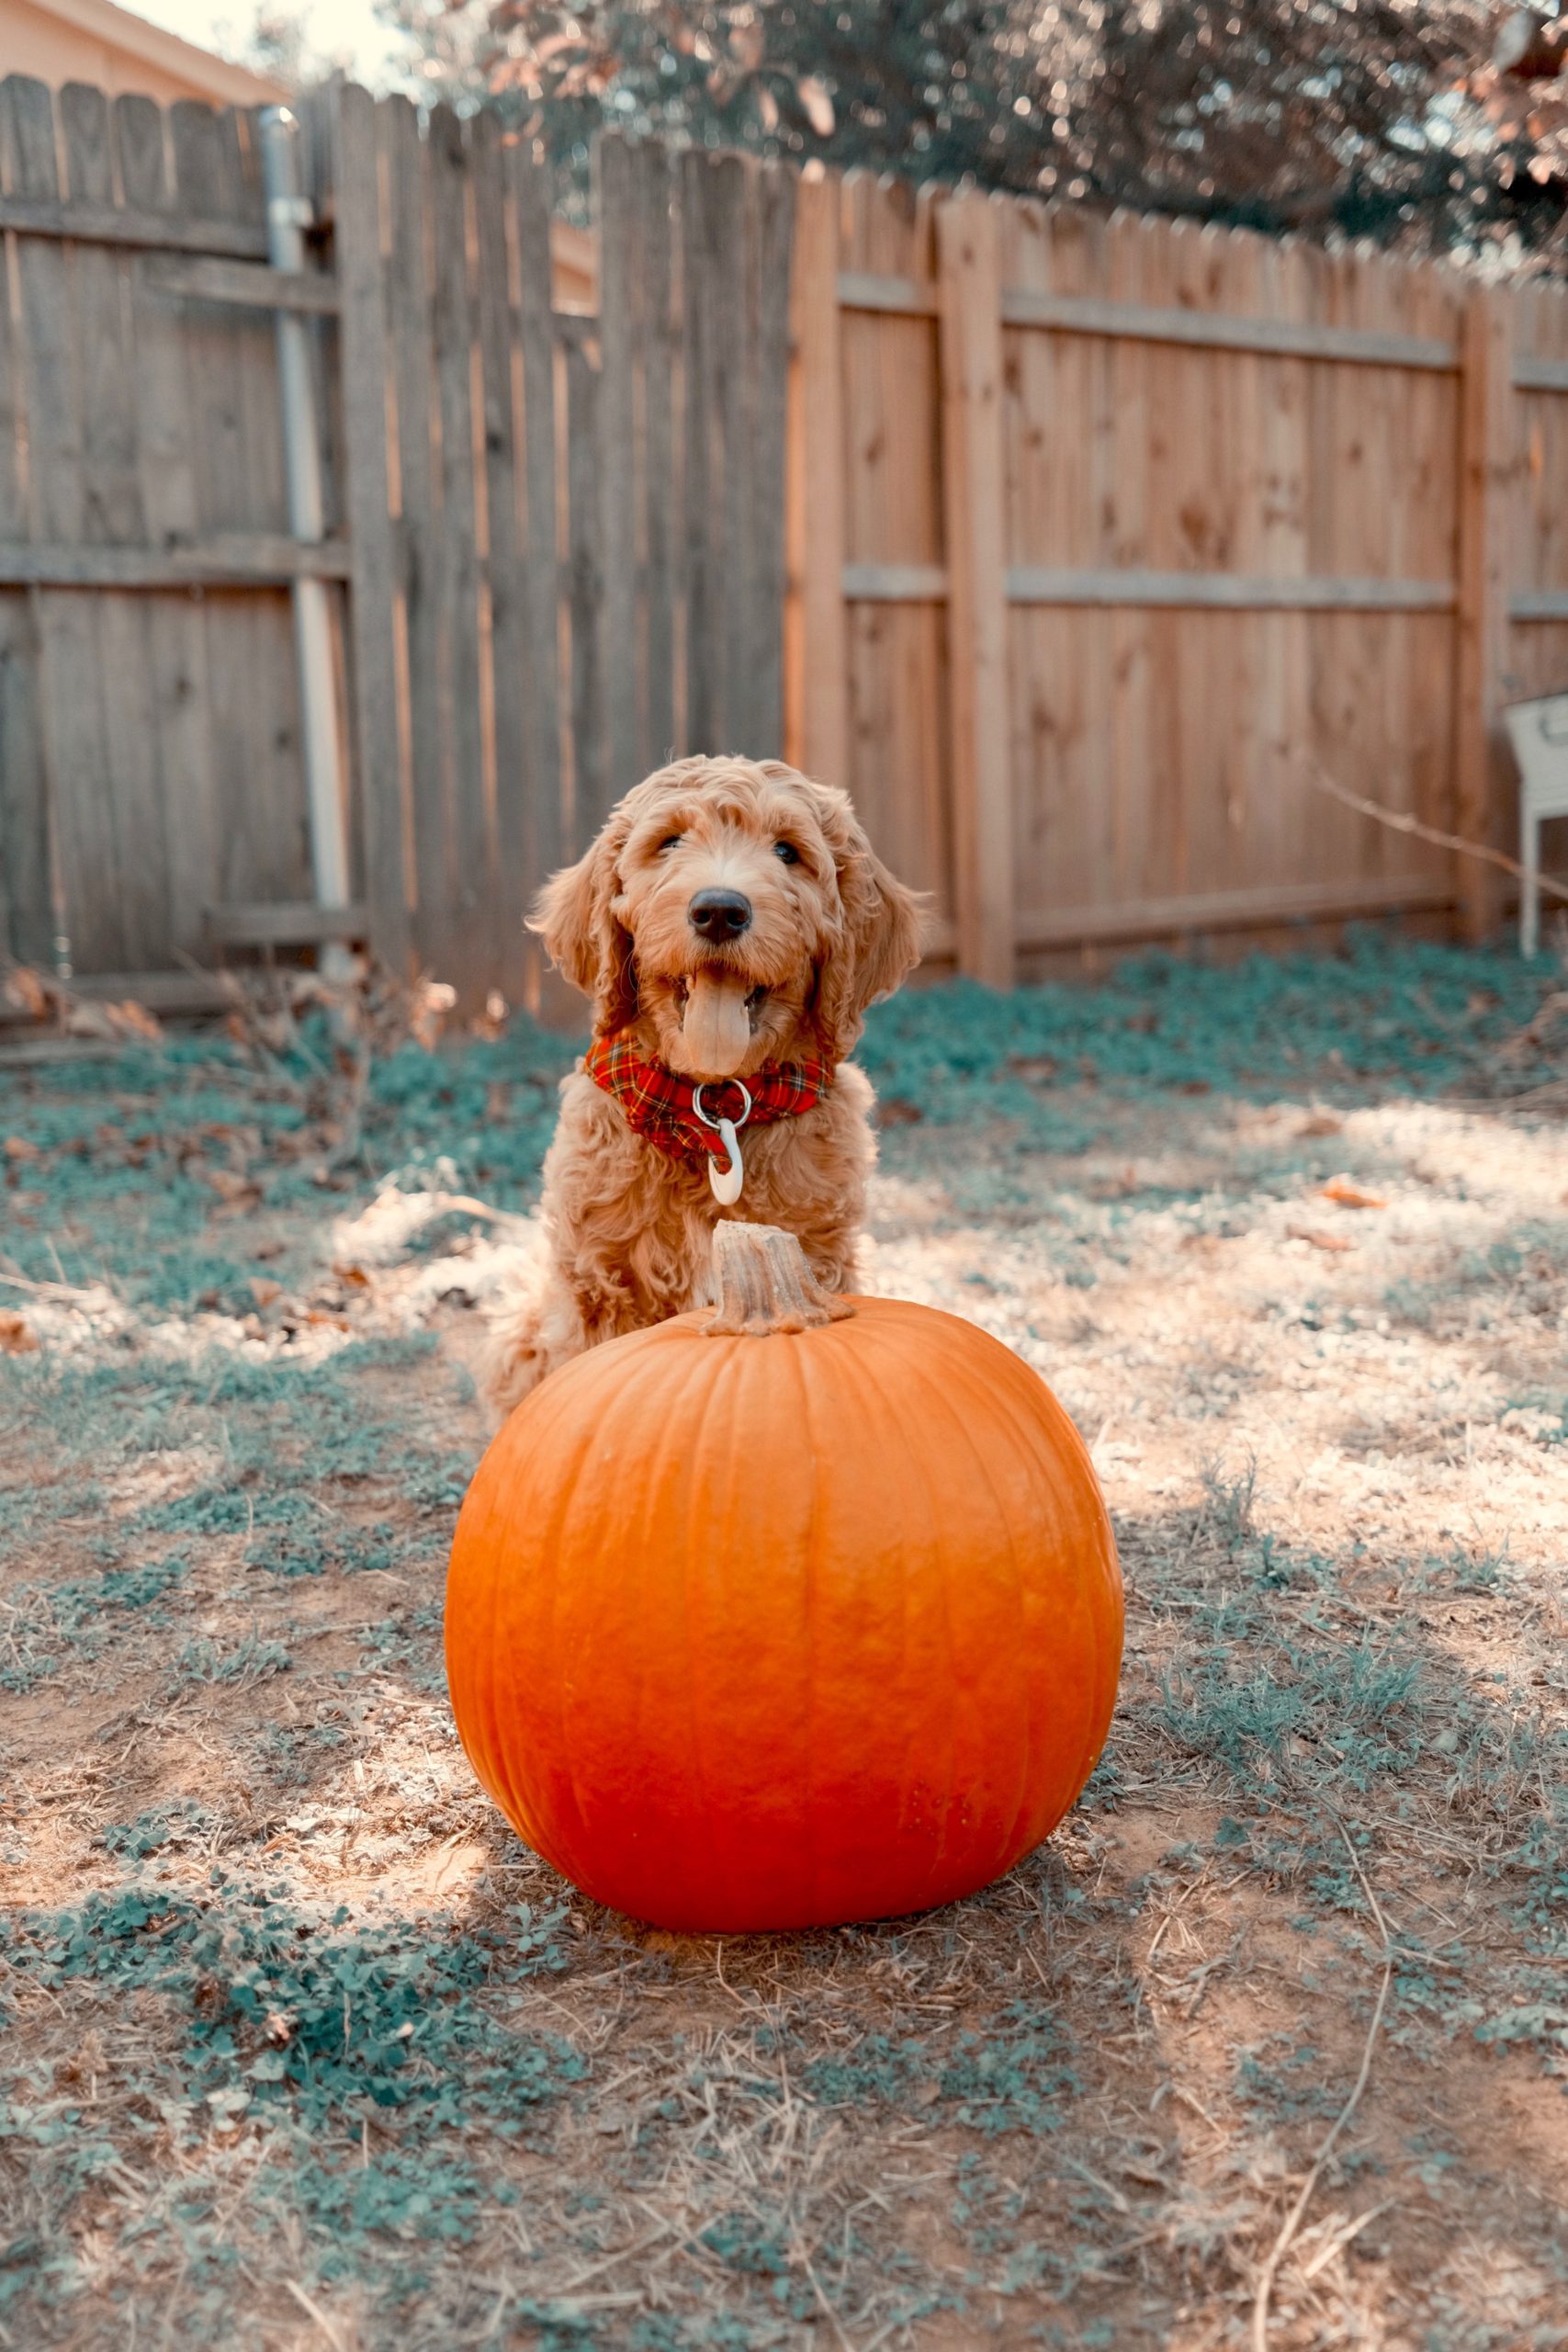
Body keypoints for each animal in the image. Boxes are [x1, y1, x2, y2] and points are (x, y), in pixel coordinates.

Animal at [484, 757, 926, 1411]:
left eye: (788, 852)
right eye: (668, 842)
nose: (719, 910)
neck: (709, 1107)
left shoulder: (821, 1252)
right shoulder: (596, 1279)